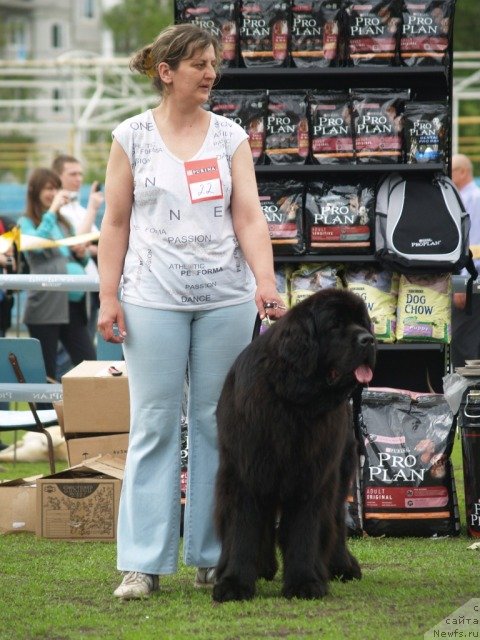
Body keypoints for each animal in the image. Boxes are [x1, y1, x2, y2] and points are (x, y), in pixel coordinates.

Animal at [213, 288, 376, 604]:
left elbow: (305, 530)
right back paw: (263, 566)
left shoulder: (312, 476)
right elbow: (242, 527)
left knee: (335, 520)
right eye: (335, 325)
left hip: (340, 470)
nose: (369, 340)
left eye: (362, 322)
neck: (293, 400)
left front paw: (305, 582)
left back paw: (342, 566)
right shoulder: (245, 472)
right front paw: (234, 582)